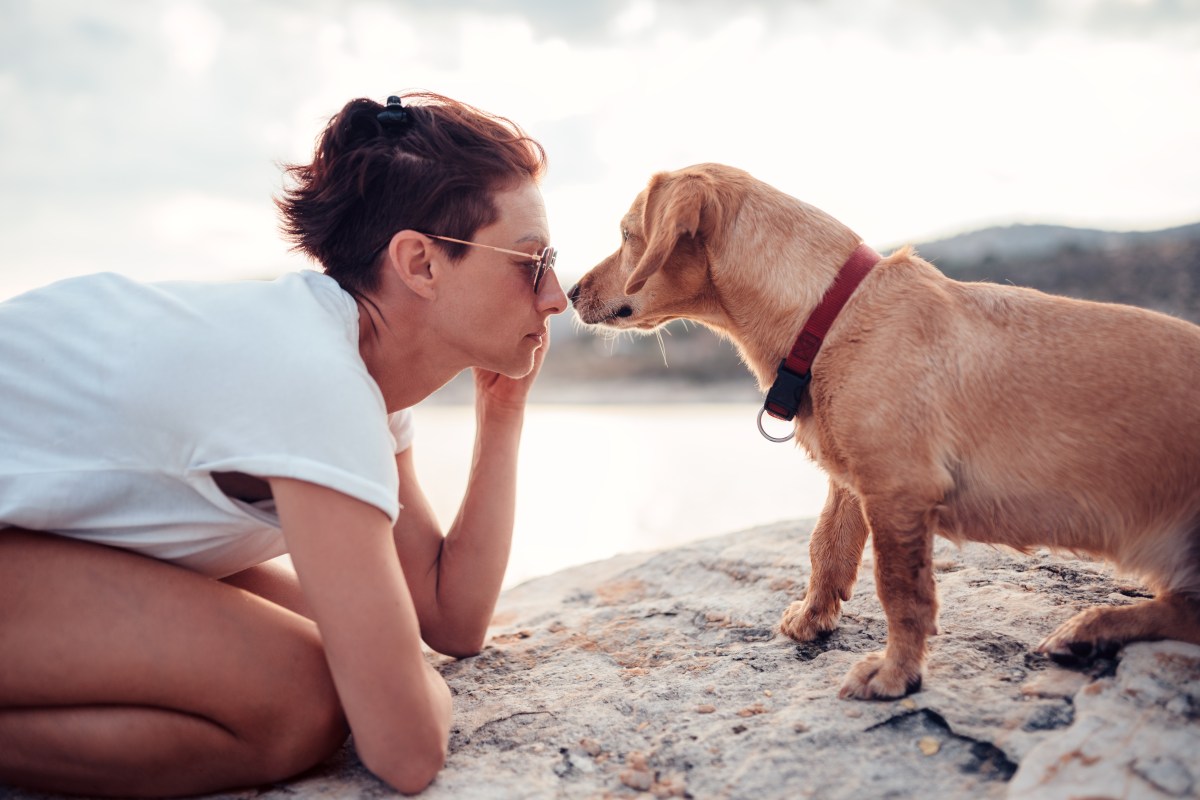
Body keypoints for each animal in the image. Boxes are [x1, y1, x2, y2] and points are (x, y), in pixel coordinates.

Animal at [566, 163, 1200, 700]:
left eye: (626, 234)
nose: (568, 293)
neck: (829, 313)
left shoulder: (898, 492)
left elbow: (901, 592)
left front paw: (896, 673)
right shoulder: (854, 483)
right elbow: (826, 548)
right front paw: (813, 617)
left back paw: (1095, 625)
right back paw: (1093, 629)